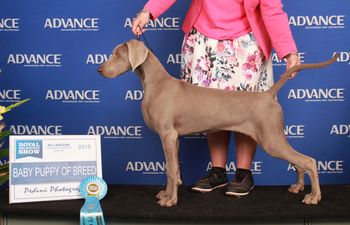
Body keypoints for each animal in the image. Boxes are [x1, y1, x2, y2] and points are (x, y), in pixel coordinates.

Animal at [97, 39, 338, 207]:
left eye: (117, 54)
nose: (100, 70)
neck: (154, 83)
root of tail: (268, 94)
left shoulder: (167, 134)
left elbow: (170, 170)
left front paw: (170, 201)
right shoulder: (174, 138)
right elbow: (174, 169)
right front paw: (168, 193)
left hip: (271, 138)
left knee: (309, 161)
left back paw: (314, 196)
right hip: (274, 137)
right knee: (299, 162)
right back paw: (298, 187)